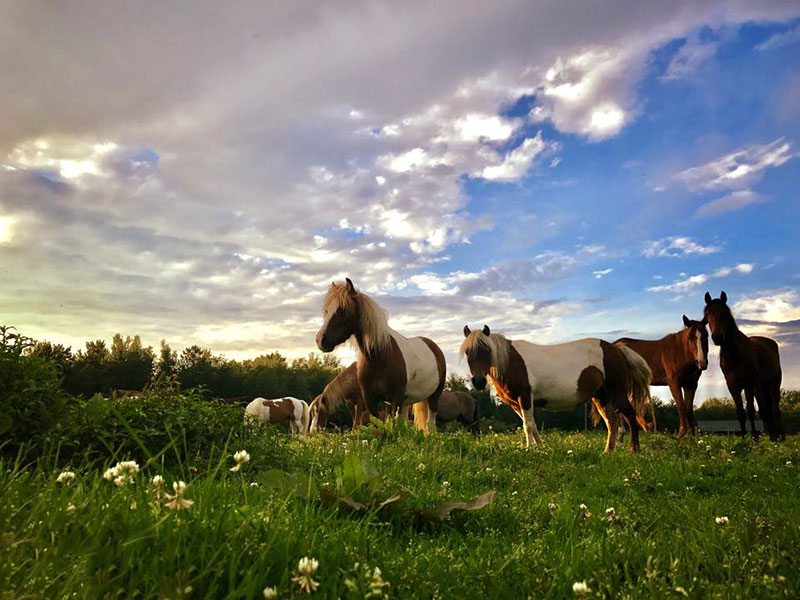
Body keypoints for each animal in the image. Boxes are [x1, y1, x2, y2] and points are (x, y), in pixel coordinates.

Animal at [315, 278, 446, 434]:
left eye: (343, 310)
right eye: (326, 310)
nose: (320, 340)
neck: (380, 358)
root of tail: (433, 346)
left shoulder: (393, 399)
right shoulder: (370, 399)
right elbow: (378, 425)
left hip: (434, 396)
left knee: (430, 424)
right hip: (406, 401)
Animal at [461, 325, 652, 452]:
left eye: (486, 350)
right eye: (467, 352)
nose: (478, 382)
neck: (512, 361)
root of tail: (617, 350)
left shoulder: (525, 398)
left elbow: (527, 426)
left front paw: (529, 450)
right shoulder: (516, 404)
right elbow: (532, 425)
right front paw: (540, 449)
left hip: (617, 394)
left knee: (630, 415)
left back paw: (634, 449)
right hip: (601, 398)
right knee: (611, 422)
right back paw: (608, 452)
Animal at [703, 291, 783, 440]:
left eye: (725, 313)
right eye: (708, 314)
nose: (717, 337)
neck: (735, 355)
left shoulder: (755, 383)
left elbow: (762, 411)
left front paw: (770, 440)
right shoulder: (733, 386)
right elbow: (742, 413)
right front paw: (746, 439)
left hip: (772, 384)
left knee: (774, 409)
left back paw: (780, 437)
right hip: (753, 387)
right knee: (755, 410)